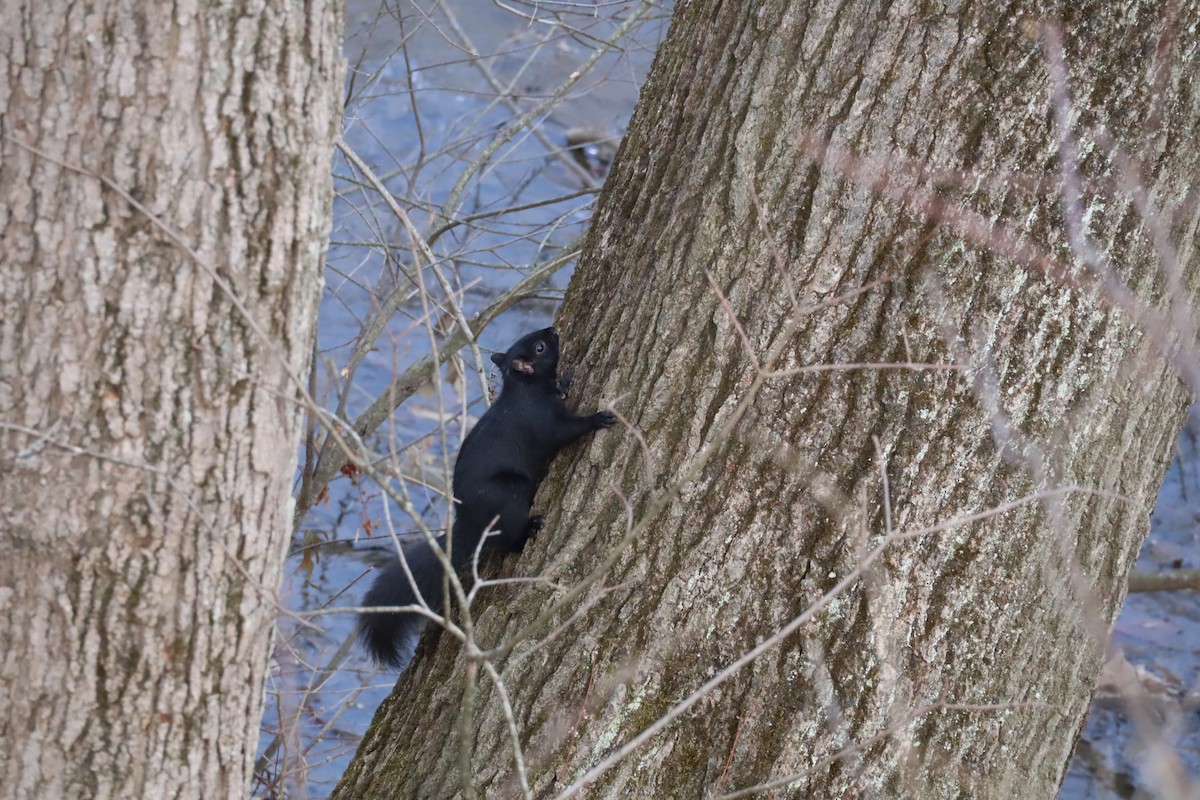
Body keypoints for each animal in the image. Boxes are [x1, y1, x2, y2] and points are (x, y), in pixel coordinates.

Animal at [356, 327, 616, 669]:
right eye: (540, 346)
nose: (552, 330)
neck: (526, 389)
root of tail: (469, 525)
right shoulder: (544, 423)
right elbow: (566, 431)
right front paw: (597, 419)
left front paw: (564, 381)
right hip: (510, 495)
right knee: (506, 541)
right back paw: (529, 530)